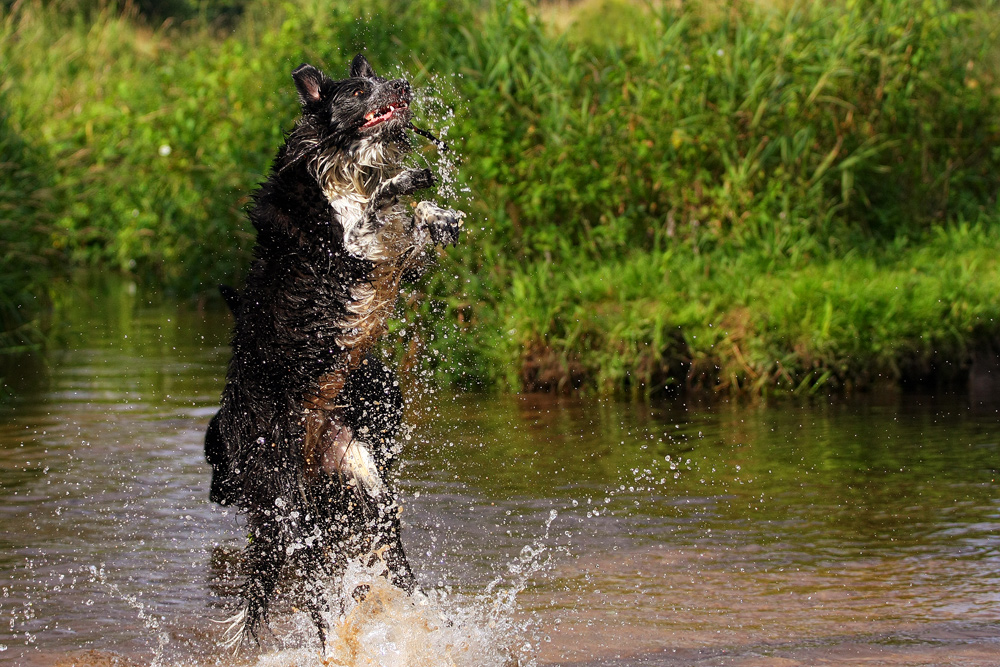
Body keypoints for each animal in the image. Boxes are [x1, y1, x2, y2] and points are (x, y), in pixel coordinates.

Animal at [207, 54, 464, 648]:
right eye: (359, 90)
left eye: (385, 78)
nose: (403, 85)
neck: (341, 166)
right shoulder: (344, 247)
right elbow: (375, 210)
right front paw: (402, 183)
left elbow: (413, 220)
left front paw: (438, 212)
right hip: (289, 513)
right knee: (316, 594)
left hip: (365, 485)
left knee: (387, 561)